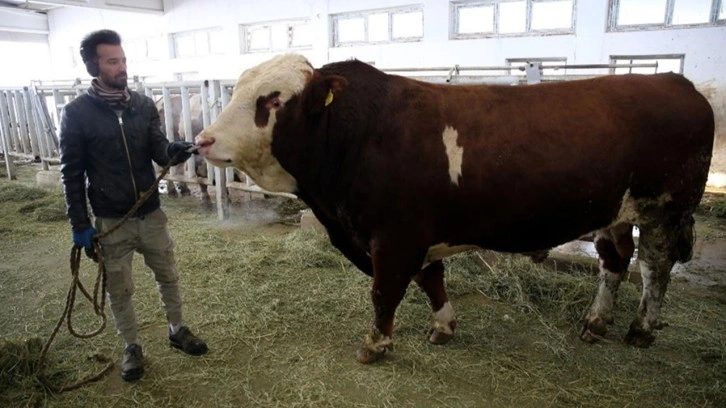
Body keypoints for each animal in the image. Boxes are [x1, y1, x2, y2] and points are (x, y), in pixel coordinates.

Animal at [195, 54, 716, 364]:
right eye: (237, 89)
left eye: (272, 99)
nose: (203, 140)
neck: (359, 134)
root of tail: (677, 81)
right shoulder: (416, 234)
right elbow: (431, 280)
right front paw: (443, 326)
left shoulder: (395, 236)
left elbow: (384, 292)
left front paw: (375, 344)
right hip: (615, 211)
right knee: (614, 262)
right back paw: (595, 322)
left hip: (664, 210)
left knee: (654, 269)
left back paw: (641, 329)